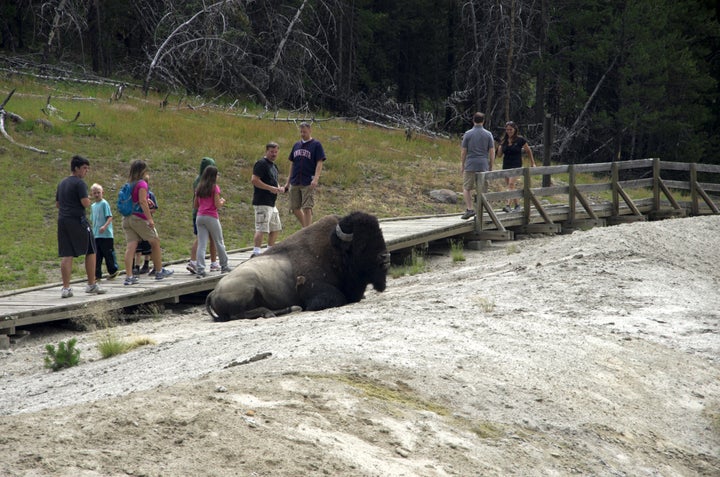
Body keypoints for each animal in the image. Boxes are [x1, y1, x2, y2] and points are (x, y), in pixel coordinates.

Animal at [205, 210, 390, 318]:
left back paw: (289, 308)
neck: (334, 251)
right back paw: (272, 312)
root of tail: (213, 292)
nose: (385, 257)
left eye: (380, 234)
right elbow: (336, 298)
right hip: (247, 287)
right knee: (237, 315)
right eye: (362, 243)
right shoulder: (317, 291)